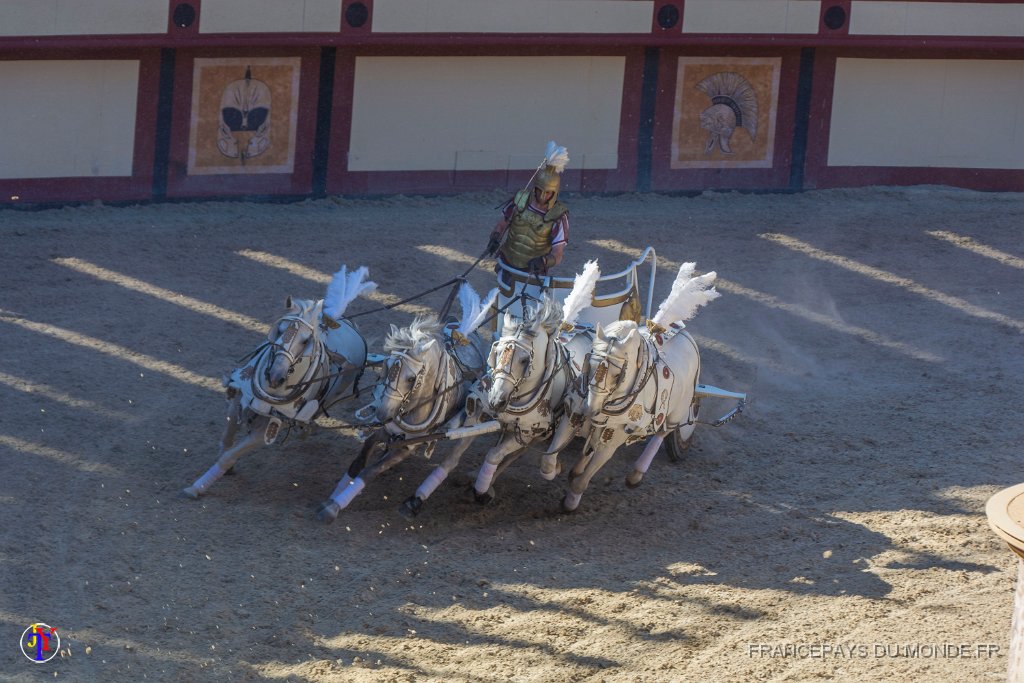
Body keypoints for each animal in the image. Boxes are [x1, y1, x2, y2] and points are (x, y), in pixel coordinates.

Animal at [184, 264, 376, 499]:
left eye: (305, 340)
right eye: (281, 330)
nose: (275, 376)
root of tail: (346, 323)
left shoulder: (272, 425)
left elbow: (230, 454)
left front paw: (197, 487)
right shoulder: (239, 397)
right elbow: (227, 440)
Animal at [319, 282, 495, 524]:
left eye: (411, 379)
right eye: (386, 365)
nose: (382, 413)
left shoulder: (407, 447)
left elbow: (369, 472)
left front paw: (335, 506)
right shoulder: (386, 430)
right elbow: (359, 461)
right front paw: (333, 496)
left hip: (474, 421)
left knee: (451, 460)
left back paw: (416, 501)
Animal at [557, 264, 716, 509]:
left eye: (617, 374)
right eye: (589, 362)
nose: (590, 409)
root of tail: (685, 334)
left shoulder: (616, 433)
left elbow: (591, 469)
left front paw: (571, 500)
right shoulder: (576, 410)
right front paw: (563, 469)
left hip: (678, 409)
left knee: (663, 433)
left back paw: (636, 474)